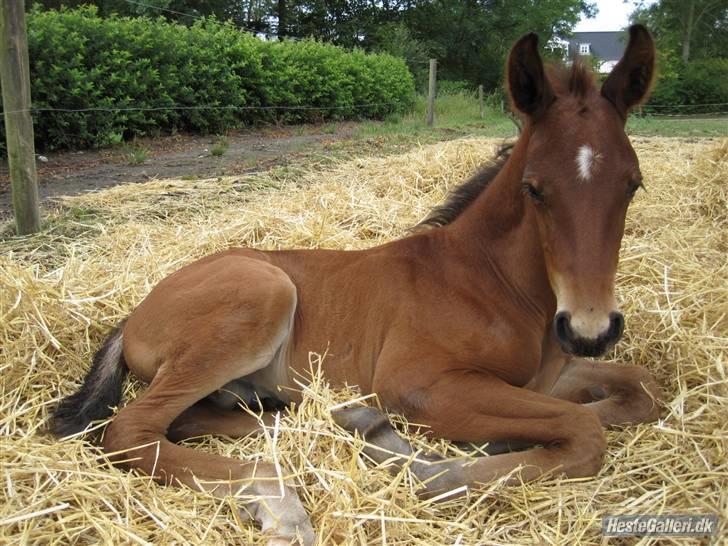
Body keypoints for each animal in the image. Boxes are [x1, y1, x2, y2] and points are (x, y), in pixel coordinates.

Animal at [54, 27, 664, 544]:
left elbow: (641, 389)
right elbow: (584, 429)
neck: (489, 281)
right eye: (534, 189)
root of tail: (134, 312)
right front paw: (433, 469)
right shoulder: (419, 384)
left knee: (202, 419)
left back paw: (338, 424)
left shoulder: (549, 377)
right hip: (263, 295)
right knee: (131, 430)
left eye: (633, 185)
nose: (589, 329)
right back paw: (280, 500)